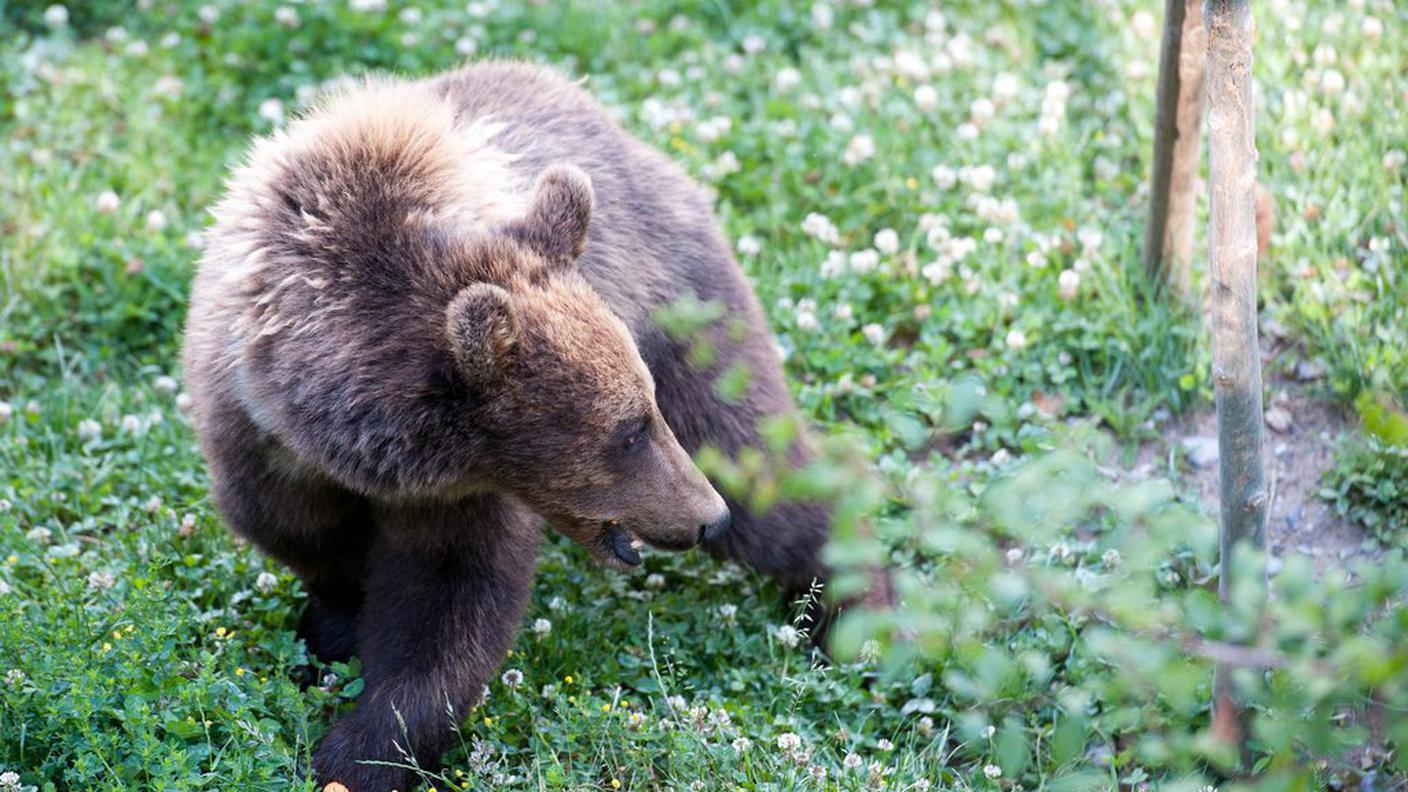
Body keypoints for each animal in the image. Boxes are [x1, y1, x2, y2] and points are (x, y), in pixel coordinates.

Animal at [184, 62, 840, 791]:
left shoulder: (473, 490)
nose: (706, 517)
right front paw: (331, 631)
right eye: (628, 433)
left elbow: (452, 602)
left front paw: (360, 753)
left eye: (643, 414)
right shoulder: (255, 438)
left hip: (681, 304)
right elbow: (296, 533)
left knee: (758, 464)